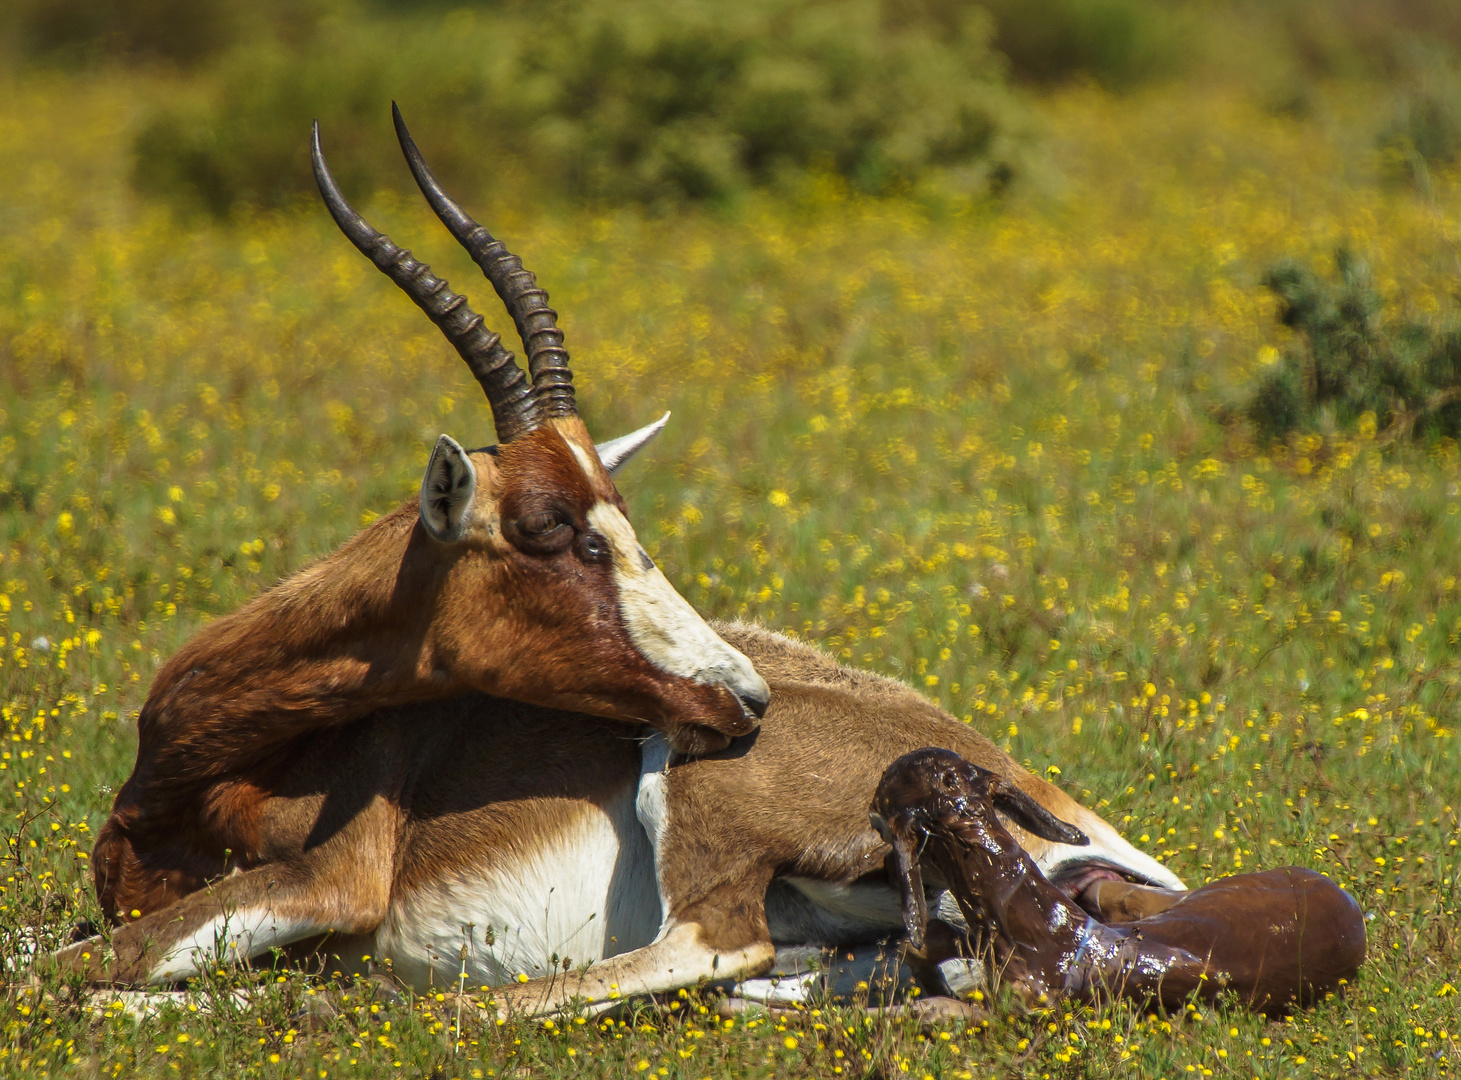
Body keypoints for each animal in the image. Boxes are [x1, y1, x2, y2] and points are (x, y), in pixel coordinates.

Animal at [51, 113, 1180, 1011]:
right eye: (567, 531)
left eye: (621, 523)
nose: (745, 698)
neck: (205, 762)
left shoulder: (328, 880)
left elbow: (66, 974)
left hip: (683, 800)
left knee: (693, 951)